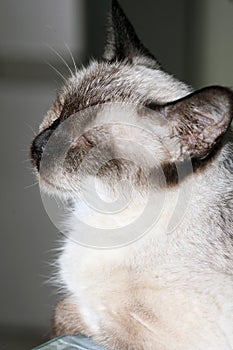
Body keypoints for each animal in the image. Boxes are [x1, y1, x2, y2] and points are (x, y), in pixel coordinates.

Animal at [31, 0, 233, 350]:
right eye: (58, 111)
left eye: (88, 140)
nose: (38, 146)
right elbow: (65, 309)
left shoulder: (148, 336)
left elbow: (64, 311)